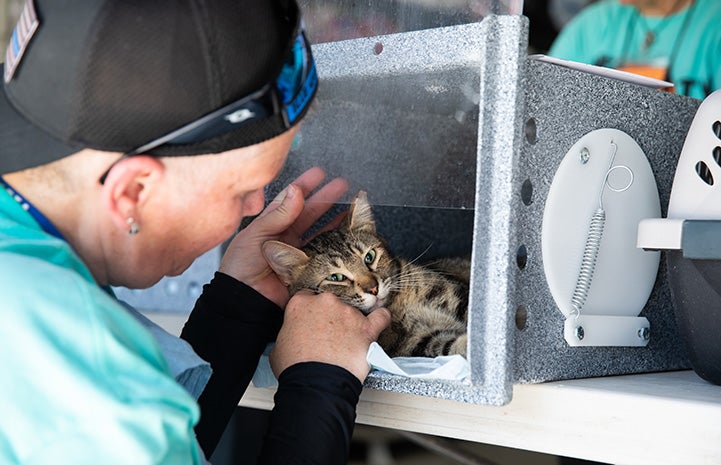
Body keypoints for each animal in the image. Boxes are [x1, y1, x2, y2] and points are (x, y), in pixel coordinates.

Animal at [262, 190, 470, 358]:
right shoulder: (415, 341)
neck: (397, 305)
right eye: (336, 278)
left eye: (369, 257)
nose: (373, 289)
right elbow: (446, 346)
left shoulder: (456, 295)